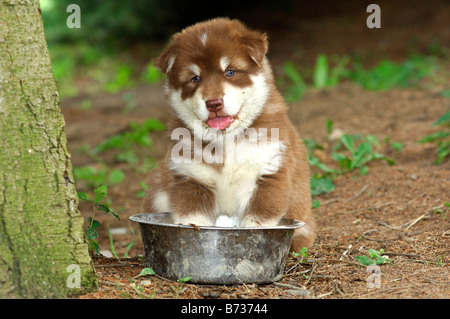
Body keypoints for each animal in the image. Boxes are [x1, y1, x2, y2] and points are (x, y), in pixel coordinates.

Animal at [144, 17, 316, 251]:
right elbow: (193, 218)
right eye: (195, 78)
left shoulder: (269, 172)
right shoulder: (191, 178)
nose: (214, 103)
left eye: (230, 72)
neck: (225, 139)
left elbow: (258, 219)